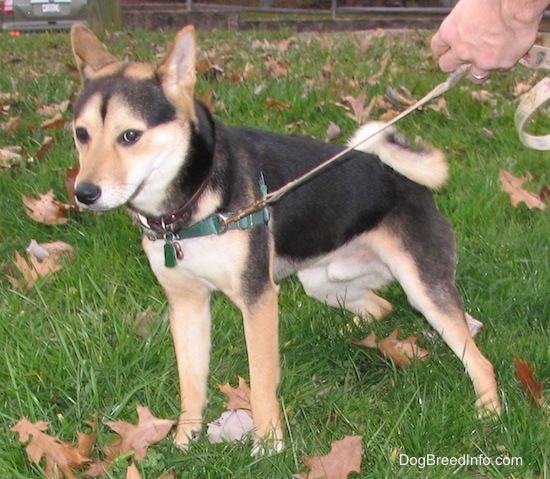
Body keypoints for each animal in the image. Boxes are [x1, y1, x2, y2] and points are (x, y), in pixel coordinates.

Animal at [70, 23, 504, 454]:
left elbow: (262, 379)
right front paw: (184, 440)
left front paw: (268, 446)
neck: (189, 205)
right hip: (324, 280)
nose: (83, 193)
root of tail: (408, 181)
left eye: (130, 135)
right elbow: (191, 382)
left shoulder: (257, 297)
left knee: (478, 358)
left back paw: (489, 414)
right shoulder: (186, 302)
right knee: (380, 307)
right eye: (80, 134)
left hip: (421, 285)